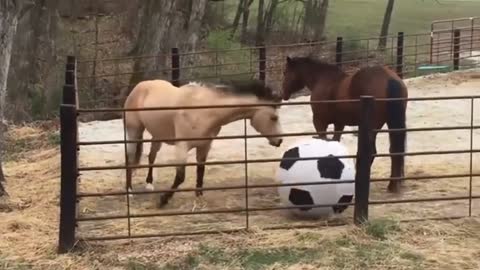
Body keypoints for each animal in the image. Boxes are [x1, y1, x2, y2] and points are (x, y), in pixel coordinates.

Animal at [124, 79, 284, 208]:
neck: (204, 110)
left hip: (157, 135)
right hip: (134, 132)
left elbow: (201, 170)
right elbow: (180, 177)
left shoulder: (204, 145)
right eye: (274, 118)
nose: (280, 141)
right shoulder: (182, 146)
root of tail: (139, 86)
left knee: (152, 156)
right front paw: (163, 200)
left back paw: (149, 184)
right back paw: (129, 191)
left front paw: (199, 196)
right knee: (130, 158)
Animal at [282, 56, 408, 193]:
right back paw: (393, 184)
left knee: (373, 151)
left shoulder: (319, 122)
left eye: (285, 72)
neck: (322, 80)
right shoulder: (339, 124)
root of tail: (390, 79)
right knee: (394, 151)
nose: (283, 94)